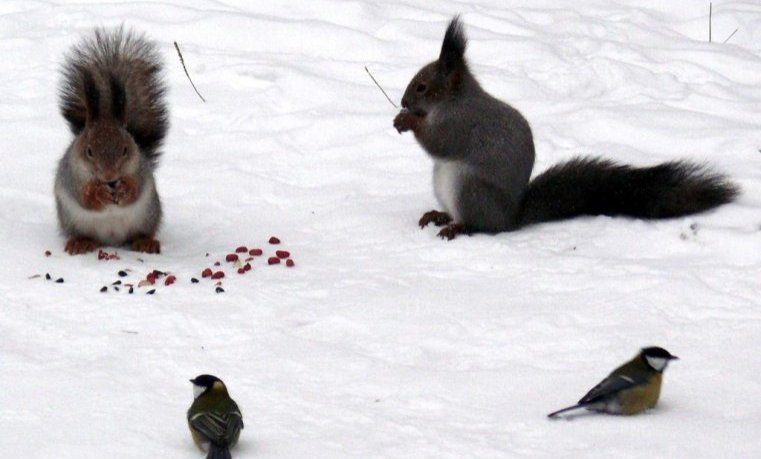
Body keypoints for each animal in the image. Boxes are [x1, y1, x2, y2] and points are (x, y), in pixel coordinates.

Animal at [55, 27, 168, 255]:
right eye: (89, 151)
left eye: (125, 149)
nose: (110, 177)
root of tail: (112, 240)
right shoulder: (71, 175)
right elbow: (84, 196)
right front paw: (99, 194)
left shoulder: (140, 169)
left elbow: (137, 188)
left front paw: (125, 189)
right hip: (72, 220)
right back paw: (81, 242)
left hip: (148, 214)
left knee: (141, 232)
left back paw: (145, 242)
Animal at [394, 17, 740, 241]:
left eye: (422, 86)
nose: (402, 101)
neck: (453, 101)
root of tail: (511, 218)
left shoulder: (462, 123)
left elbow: (439, 142)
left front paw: (407, 121)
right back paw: (439, 215)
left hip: (471, 190)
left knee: (480, 226)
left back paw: (459, 227)